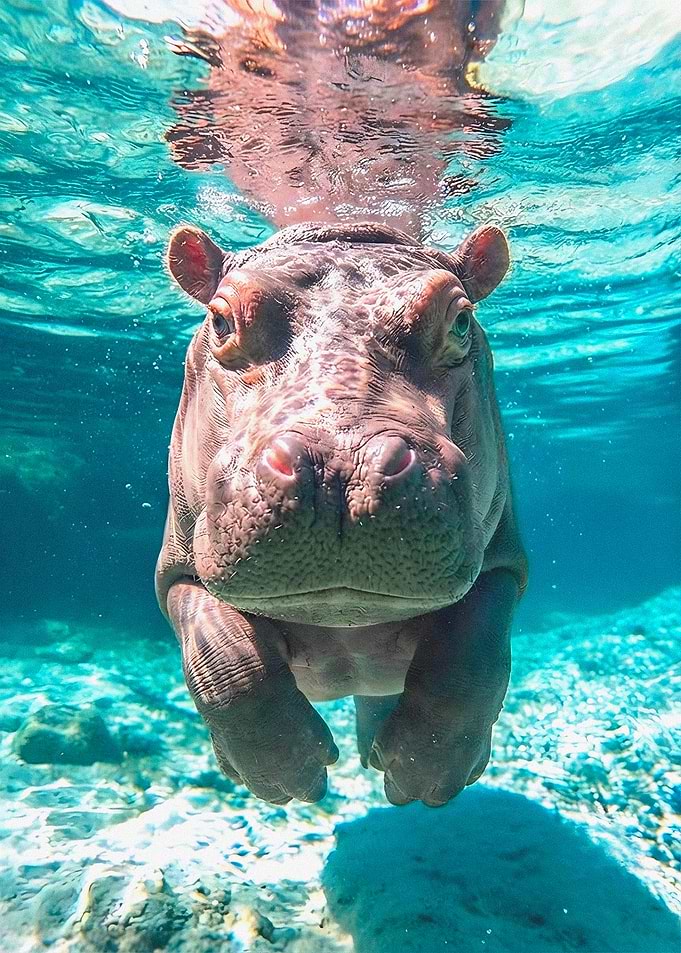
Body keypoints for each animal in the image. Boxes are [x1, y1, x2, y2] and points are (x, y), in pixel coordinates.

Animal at [156, 220, 528, 806]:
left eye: (462, 320)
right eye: (219, 319)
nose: (339, 466)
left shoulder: (503, 563)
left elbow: (472, 654)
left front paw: (423, 775)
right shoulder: (178, 568)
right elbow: (227, 662)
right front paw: (287, 778)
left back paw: (378, 756)